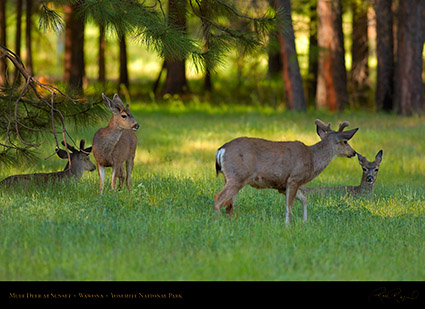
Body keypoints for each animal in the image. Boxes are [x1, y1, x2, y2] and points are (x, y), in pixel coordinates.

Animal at [215, 119, 358, 223]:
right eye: (345, 141)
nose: (354, 153)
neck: (312, 159)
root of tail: (221, 149)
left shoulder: (282, 185)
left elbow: (304, 199)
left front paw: (305, 222)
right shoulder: (294, 178)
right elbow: (289, 206)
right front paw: (287, 225)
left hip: (230, 177)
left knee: (229, 204)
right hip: (238, 176)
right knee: (219, 198)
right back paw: (217, 222)